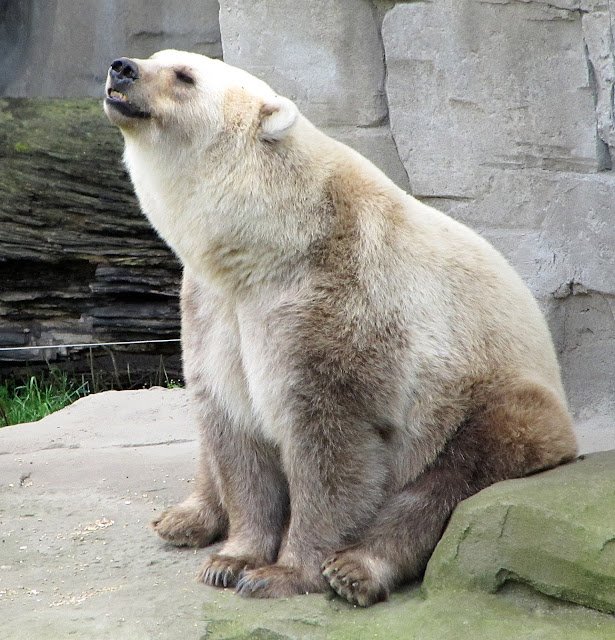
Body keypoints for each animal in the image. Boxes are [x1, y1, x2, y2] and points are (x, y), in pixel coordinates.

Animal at [103, 48, 580, 604]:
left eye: (184, 76)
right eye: (158, 58)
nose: (122, 68)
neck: (270, 244)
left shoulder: (338, 296)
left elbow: (330, 441)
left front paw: (281, 573)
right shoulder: (215, 308)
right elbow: (232, 425)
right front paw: (231, 560)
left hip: (490, 403)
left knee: (453, 475)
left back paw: (357, 569)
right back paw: (185, 518)